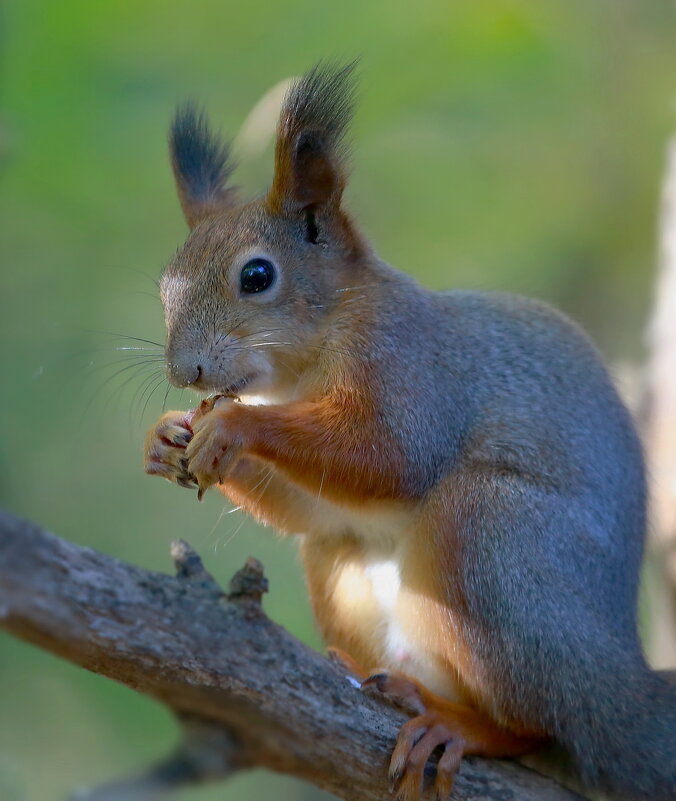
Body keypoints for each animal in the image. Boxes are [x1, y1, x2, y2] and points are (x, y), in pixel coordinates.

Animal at [144, 64, 676, 800]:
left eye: (257, 275)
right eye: (163, 287)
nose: (185, 371)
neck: (300, 368)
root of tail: (624, 690)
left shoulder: (409, 364)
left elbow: (392, 456)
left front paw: (234, 424)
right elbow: (312, 504)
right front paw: (165, 437)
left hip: (495, 538)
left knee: (542, 726)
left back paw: (459, 726)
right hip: (345, 565)